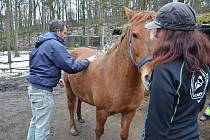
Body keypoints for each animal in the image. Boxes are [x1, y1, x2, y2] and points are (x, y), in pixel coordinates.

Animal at [64, 7, 156, 139]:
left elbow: (124, 134)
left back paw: (80, 117)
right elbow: (98, 132)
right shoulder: (101, 112)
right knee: (71, 106)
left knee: (80, 100)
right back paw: (73, 128)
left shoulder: (129, 113)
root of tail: (75, 50)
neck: (116, 78)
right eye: (134, 34)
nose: (150, 76)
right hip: (69, 90)